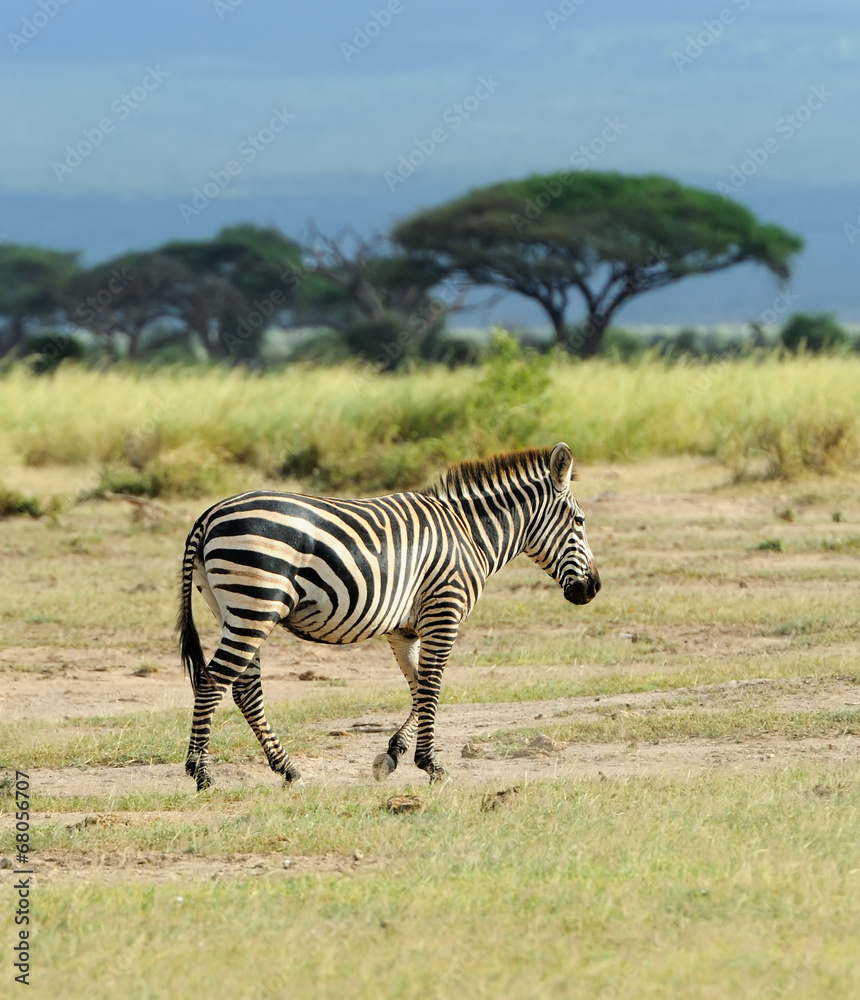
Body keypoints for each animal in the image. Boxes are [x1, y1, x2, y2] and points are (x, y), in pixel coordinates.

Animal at [177, 442, 600, 790]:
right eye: (580, 522)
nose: (593, 588)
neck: (469, 534)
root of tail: (209, 515)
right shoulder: (444, 610)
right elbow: (432, 686)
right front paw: (430, 764)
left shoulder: (403, 629)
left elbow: (419, 687)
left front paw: (392, 756)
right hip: (256, 604)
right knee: (213, 681)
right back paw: (201, 773)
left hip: (234, 610)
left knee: (244, 688)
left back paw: (288, 769)